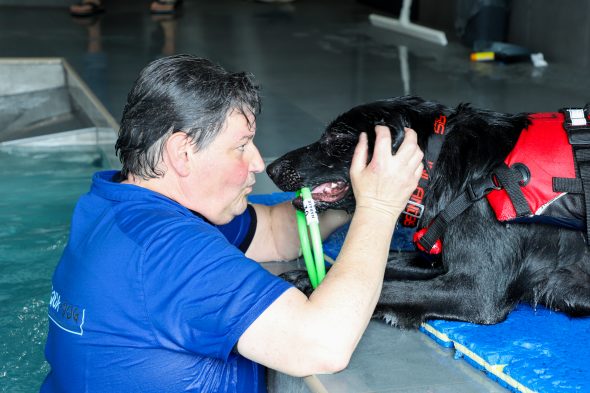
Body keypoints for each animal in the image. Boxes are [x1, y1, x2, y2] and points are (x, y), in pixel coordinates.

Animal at [268, 95, 590, 328]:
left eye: (336, 138)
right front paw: (303, 277)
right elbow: (385, 266)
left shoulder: (476, 291)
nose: (271, 169)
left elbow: (386, 289)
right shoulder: (434, 262)